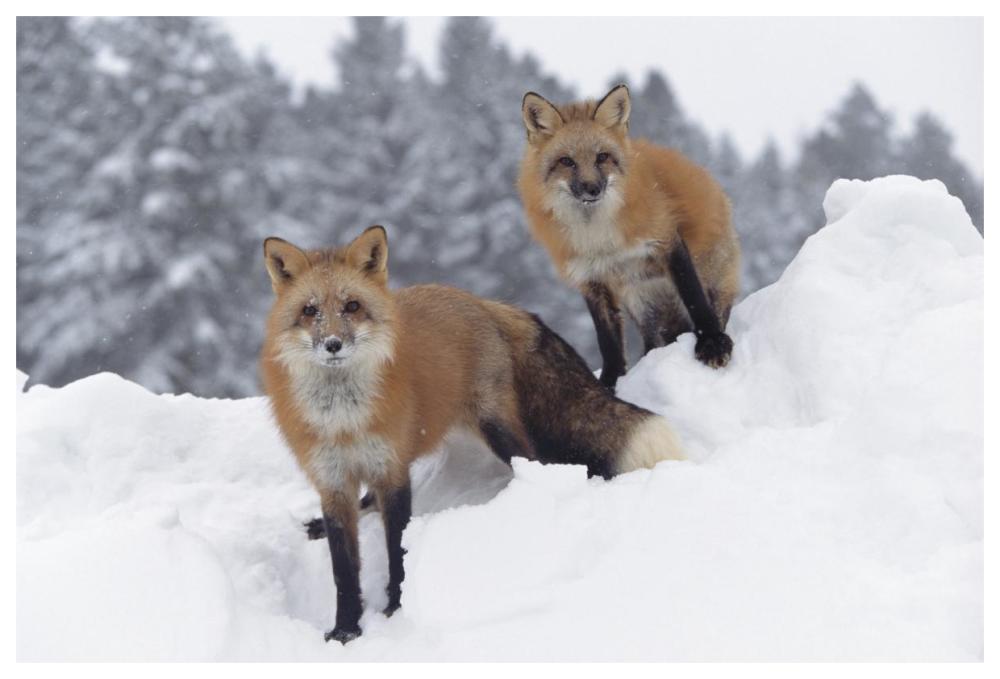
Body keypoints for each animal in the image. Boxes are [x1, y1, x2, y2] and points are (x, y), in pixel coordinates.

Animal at [260, 226, 683, 644]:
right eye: (310, 311)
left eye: (351, 307)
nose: (332, 344)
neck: (344, 421)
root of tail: (480, 301)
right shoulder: (333, 481)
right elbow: (343, 570)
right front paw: (346, 629)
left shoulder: (393, 472)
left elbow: (398, 549)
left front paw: (396, 608)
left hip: (496, 429)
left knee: (537, 464)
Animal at [518, 84, 741, 389]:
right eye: (567, 161)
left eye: (602, 157)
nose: (591, 189)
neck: (598, 238)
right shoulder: (590, 279)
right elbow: (608, 341)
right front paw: (609, 383)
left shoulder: (665, 241)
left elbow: (694, 298)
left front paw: (712, 342)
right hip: (644, 304)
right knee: (654, 341)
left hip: (709, 281)